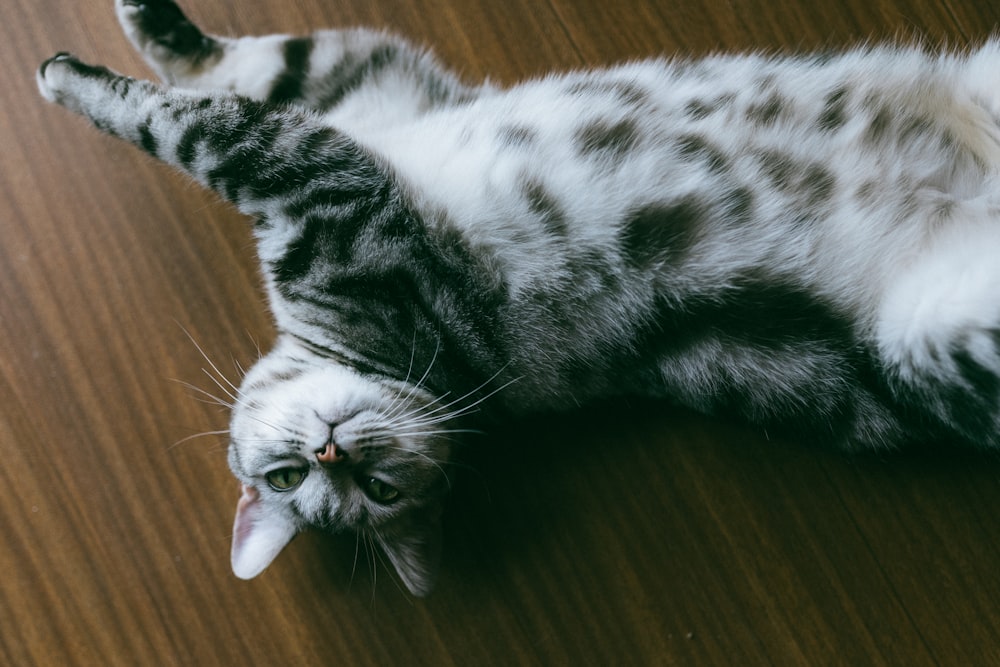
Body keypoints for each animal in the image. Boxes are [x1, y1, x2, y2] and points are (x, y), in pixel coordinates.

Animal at [37, 0, 1000, 596]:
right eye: (365, 493)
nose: (330, 452)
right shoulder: (338, 173)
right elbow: (199, 110)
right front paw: (81, 70)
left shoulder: (355, 110)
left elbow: (218, 85)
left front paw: (107, 43)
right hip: (928, 342)